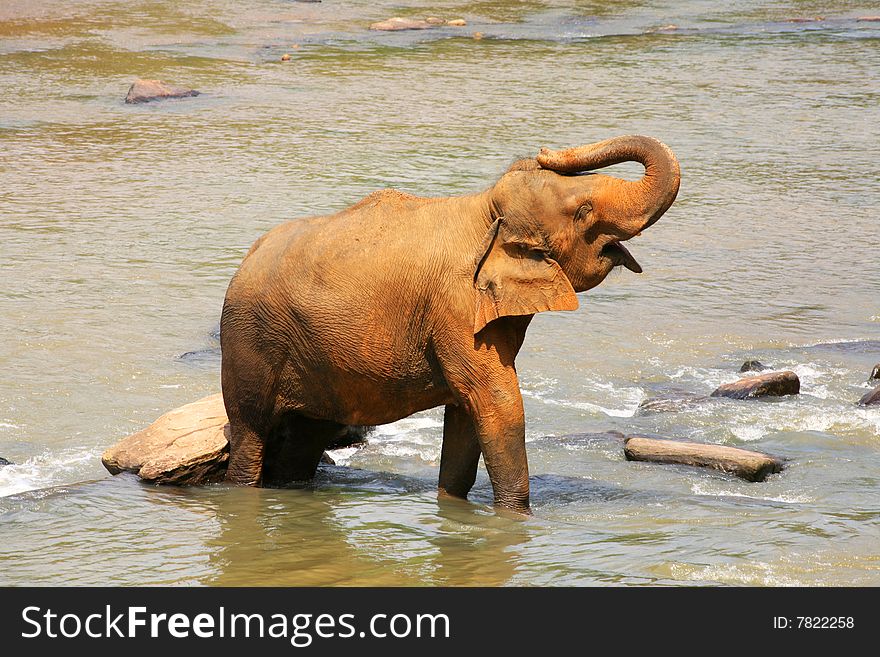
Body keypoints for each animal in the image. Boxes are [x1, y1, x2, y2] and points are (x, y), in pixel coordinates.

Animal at [220, 135, 680, 512]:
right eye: (584, 213)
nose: (543, 151)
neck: (484, 208)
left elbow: (467, 412)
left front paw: (454, 506)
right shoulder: (455, 308)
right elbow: (498, 403)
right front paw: (516, 516)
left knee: (308, 435)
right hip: (249, 342)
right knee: (251, 434)